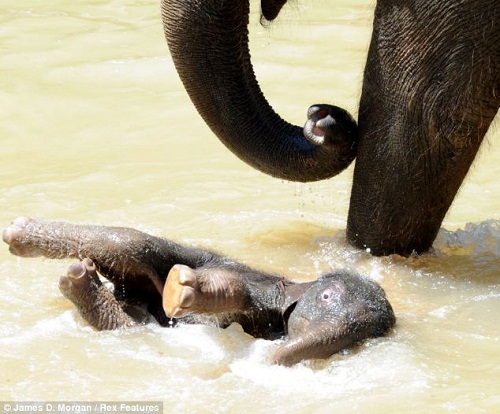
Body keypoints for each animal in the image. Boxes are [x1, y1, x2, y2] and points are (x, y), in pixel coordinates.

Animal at [2, 217, 394, 366]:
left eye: (354, 340)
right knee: (133, 243)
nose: (268, 362)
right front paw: (181, 289)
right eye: (326, 297)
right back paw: (20, 234)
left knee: (132, 320)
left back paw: (80, 283)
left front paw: (184, 293)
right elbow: (135, 244)